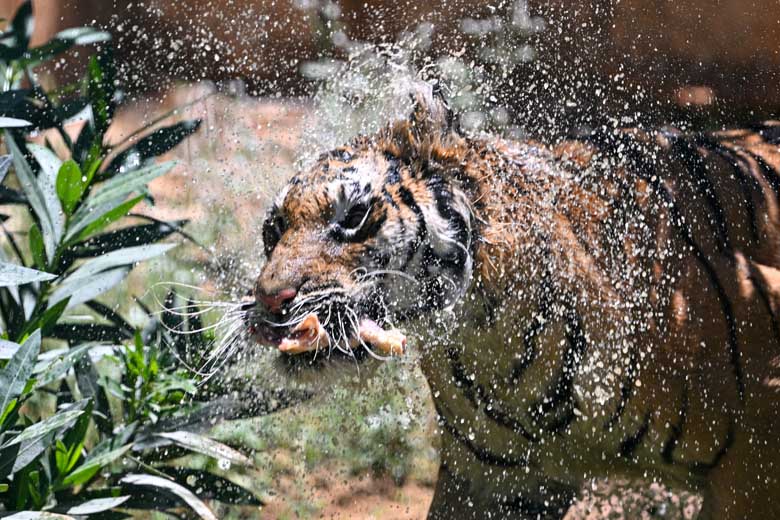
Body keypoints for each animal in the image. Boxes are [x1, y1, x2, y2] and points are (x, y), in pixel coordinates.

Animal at [247, 83, 780, 516]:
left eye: (353, 215)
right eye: (273, 229)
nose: (272, 301)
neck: (488, 338)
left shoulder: (753, 473)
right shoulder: (498, 481)